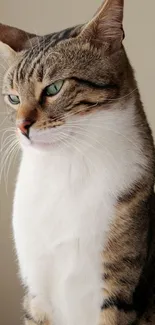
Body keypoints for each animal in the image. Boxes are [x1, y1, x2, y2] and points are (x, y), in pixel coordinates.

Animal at [0, 0, 155, 324]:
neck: (68, 165)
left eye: (54, 88)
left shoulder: (118, 289)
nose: (22, 126)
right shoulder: (36, 291)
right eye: (13, 98)